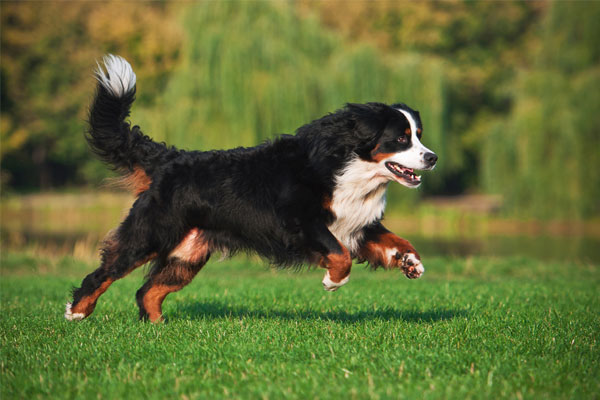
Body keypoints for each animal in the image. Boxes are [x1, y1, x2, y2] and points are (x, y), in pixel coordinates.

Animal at [65, 54, 438, 322]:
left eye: (418, 134)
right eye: (401, 138)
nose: (432, 158)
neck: (350, 168)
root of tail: (170, 159)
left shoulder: (357, 223)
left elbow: (395, 240)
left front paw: (411, 262)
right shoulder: (300, 222)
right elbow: (339, 254)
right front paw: (333, 281)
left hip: (187, 255)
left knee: (148, 292)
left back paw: (158, 329)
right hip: (150, 236)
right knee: (105, 273)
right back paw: (77, 312)